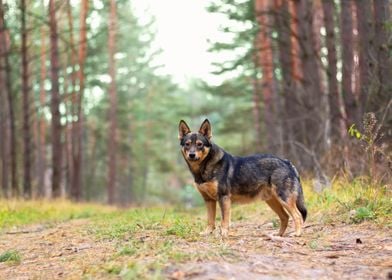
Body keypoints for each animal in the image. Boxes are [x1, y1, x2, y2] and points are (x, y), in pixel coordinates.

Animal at [179, 119, 308, 237]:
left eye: (199, 144)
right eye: (187, 144)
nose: (191, 155)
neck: (204, 168)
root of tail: (286, 162)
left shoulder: (224, 197)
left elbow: (224, 221)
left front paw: (223, 234)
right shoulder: (208, 200)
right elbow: (210, 221)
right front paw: (207, 233)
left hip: (284, 199)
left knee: (297, 216)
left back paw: (297, 234)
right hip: (272, 201)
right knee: (285, 217)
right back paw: (278, 235)